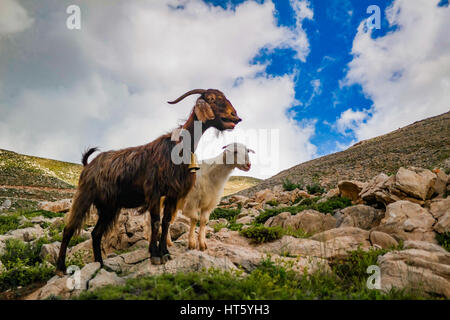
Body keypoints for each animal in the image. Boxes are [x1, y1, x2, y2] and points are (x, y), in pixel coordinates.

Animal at [56, 89, 243, 274]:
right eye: (211, 98)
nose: (235, 116)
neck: (177, 148)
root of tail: (88, 165)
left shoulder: (173, 194)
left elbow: (166, 222)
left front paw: (165, 252)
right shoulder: (154, 192)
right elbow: (155, 222)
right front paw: (154, 255)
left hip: (109, 206)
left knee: (96, 233)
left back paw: (101, 264)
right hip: (85, 196)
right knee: (69, 228)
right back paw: (61, 268)